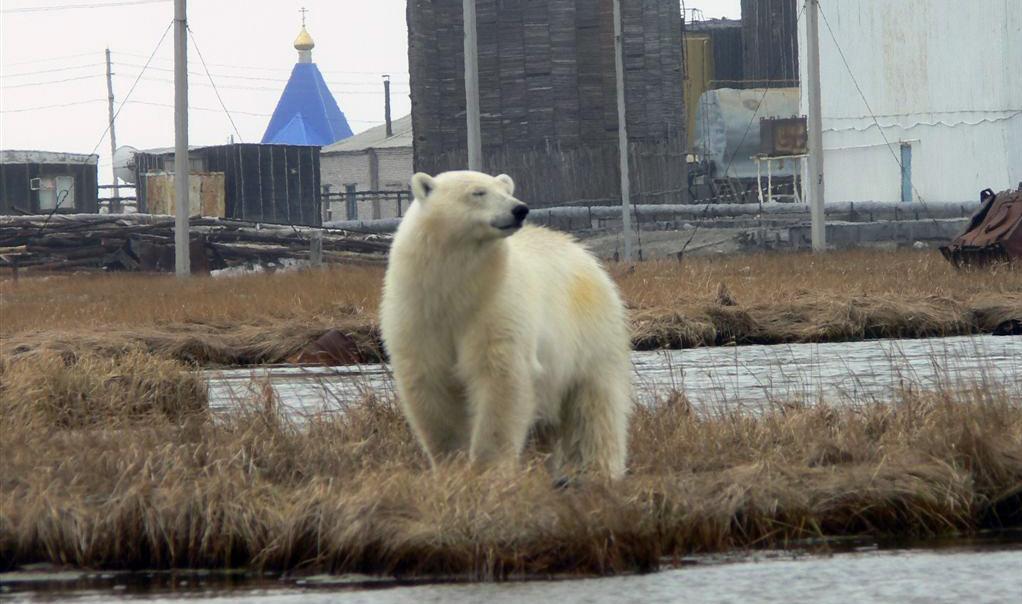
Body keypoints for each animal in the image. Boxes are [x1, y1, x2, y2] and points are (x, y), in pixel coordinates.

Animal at [379, 170, 633, 480]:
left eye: (506, 190)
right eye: (478, 192)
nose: (519, 209)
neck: (456, 286)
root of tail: (584, 253)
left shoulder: (497, 305)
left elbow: (500, 378)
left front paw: (489, 468)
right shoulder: (419, 312)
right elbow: (431, 382)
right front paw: (452, 465)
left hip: (591, 334)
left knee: (594, 406)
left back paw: (597, 469)